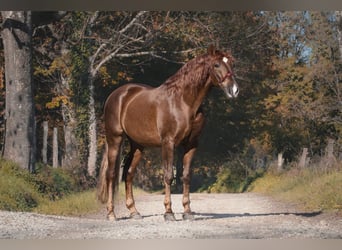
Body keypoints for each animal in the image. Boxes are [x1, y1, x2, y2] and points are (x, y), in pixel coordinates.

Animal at [97, 45, 239, 221]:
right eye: (216, 65)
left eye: (232, 64)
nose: (234, 90)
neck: (183, 102)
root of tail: (116, 95)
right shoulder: (168, 142)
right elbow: (168, 175)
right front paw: (169, 212)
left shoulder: (191, 144)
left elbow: (186, 175)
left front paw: (187, 212)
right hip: (114, 139)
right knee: (110, 174)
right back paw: (111, 214)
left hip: (137, 145)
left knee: (128, 174)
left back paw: (134, 212)